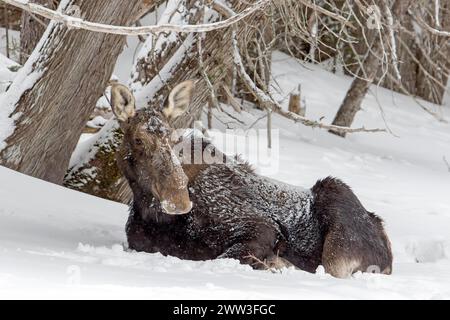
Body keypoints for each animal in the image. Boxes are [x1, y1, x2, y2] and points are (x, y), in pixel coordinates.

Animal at [110, 80, 392, 278]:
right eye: (138, 139)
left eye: (173, 136)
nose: (178, 200)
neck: (155, 215)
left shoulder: (263, 227)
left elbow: (226, 257)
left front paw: (276, 264)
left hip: (335, 218)